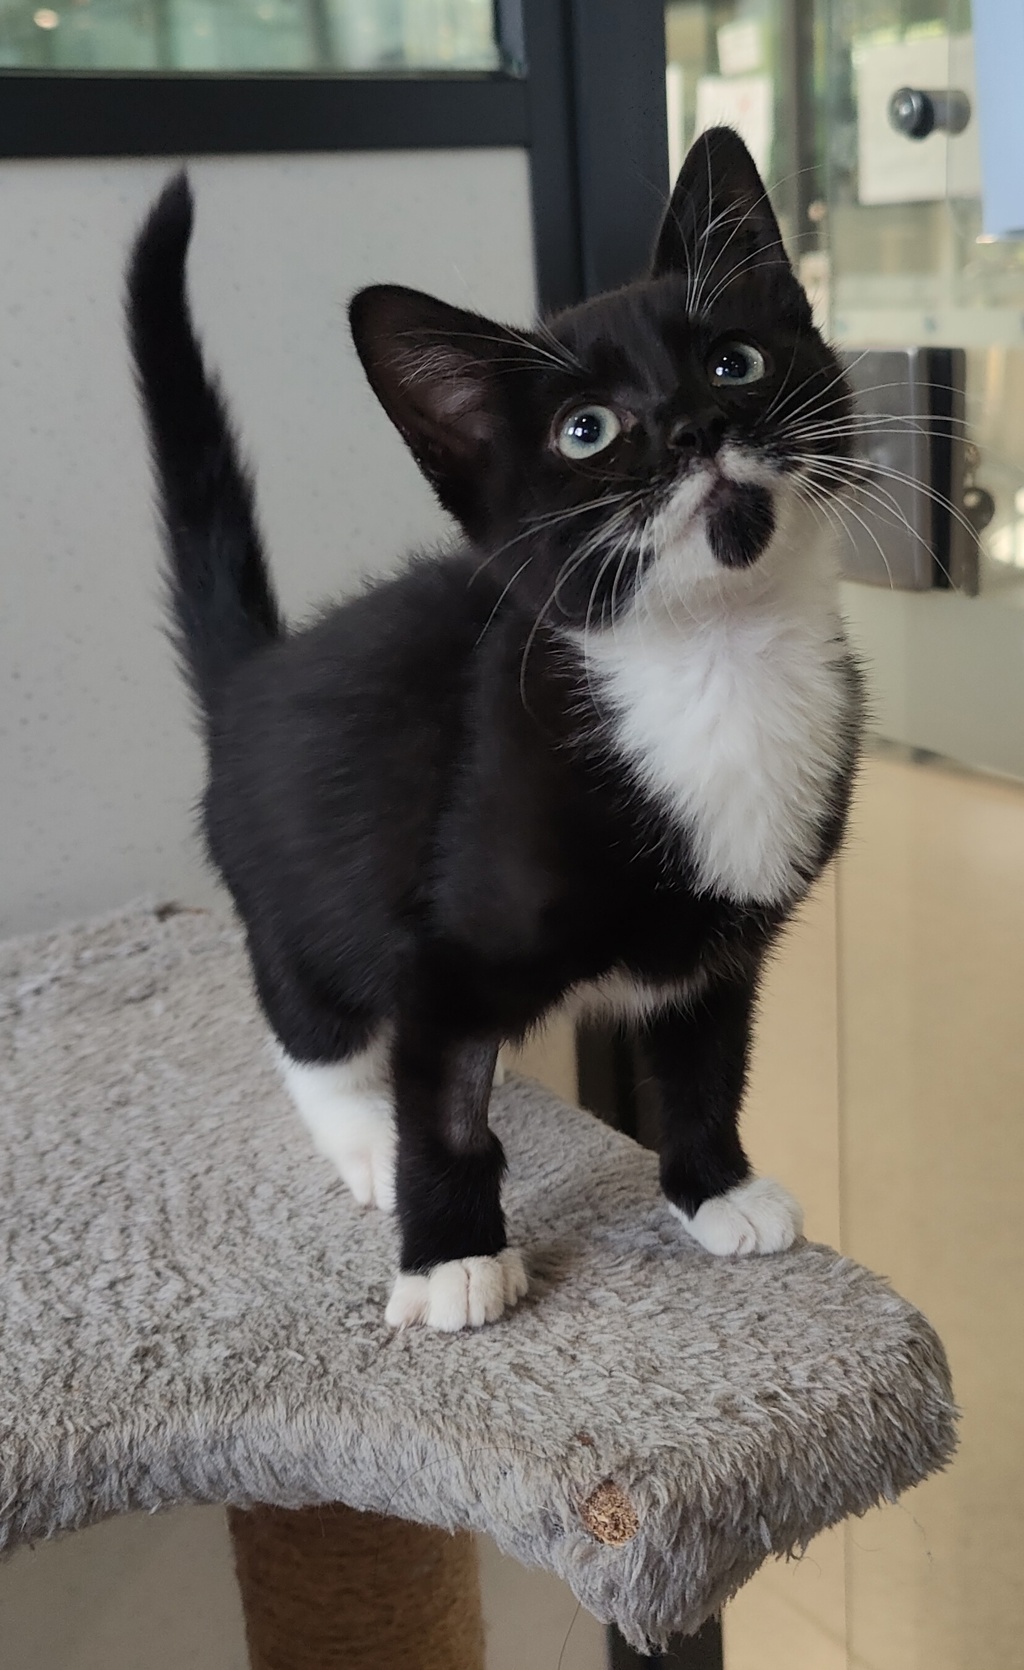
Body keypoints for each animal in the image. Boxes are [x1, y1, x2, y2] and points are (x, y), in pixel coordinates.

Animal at [127, 127, 863, 1332]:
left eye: (734, 363)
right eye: (585, 430)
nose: (695, 426)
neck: (717, 661)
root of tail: (258, 674)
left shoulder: (717, 948)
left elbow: (705, 1066)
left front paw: (716, 1189)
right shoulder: (446, 945)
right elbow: (446, 1109)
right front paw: (450, 1256)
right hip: (299, 894)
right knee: (308, 1023)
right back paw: (361, 1127)